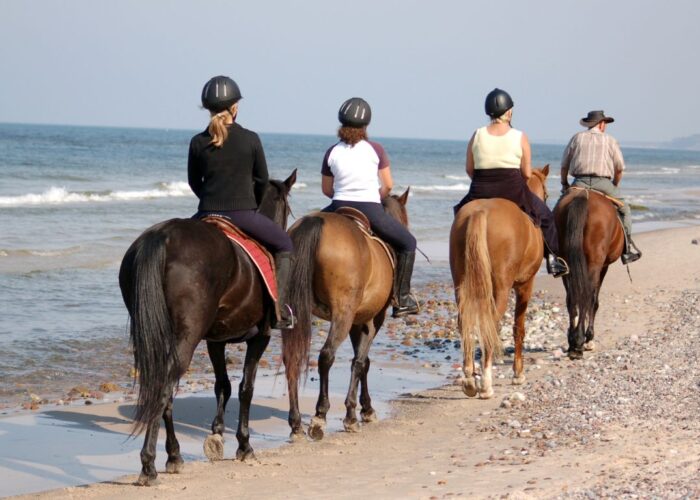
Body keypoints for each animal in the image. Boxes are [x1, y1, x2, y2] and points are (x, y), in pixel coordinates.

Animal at [117, 171, 298, 484]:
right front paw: (243, 445)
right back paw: (149, 464)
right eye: (286, 208)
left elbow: (222, 384)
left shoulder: (215, 340)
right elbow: (245, 388)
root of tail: (162, 237)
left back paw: (174, 455)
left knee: (163, 390)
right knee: (164, 390)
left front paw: (217, 434)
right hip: (187, 338)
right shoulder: (260, 337)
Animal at [280, 190, 410, 442]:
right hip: (343, 313)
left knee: (292, 358)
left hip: (293, 313)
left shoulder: (357, 321)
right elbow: (361, 362)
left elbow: (362, 360)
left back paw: (296, 424)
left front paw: (364, 408)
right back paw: (320, 416)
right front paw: (356, 413)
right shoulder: (372, 319)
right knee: (326, 355)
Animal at [448, 167, 552, 398]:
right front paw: (518, 374)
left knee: (465, 323)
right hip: (502, 289)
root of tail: (480, 212)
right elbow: (518, 328)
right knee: (490, 326)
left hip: (460, 285)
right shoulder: (525, 285)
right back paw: (486, 384)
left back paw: (469, 380)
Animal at [556, 188, 628, 360]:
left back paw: (573, 341)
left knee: (572, 298)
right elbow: (594, 300)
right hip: (594, 264)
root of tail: (584, 194)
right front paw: (589, 337)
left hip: (566, 263)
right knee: (587, 296)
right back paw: (580, 341)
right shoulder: (603, 267)